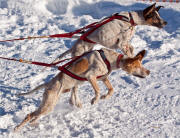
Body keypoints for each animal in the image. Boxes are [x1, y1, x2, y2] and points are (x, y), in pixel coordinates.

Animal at [14, 48, 150, 132]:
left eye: (141, 65)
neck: (108, 58)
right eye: (138, 66)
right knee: (29, 115)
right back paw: (16, 129)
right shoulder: (91, 76)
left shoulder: (103, 77)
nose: (148, 72)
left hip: (48, 106)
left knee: (35, 116)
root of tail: (49, 84)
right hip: (48, 104)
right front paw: (95, 100)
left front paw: (104, 97)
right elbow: (98, 90)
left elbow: (111, 90)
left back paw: (33, 123)